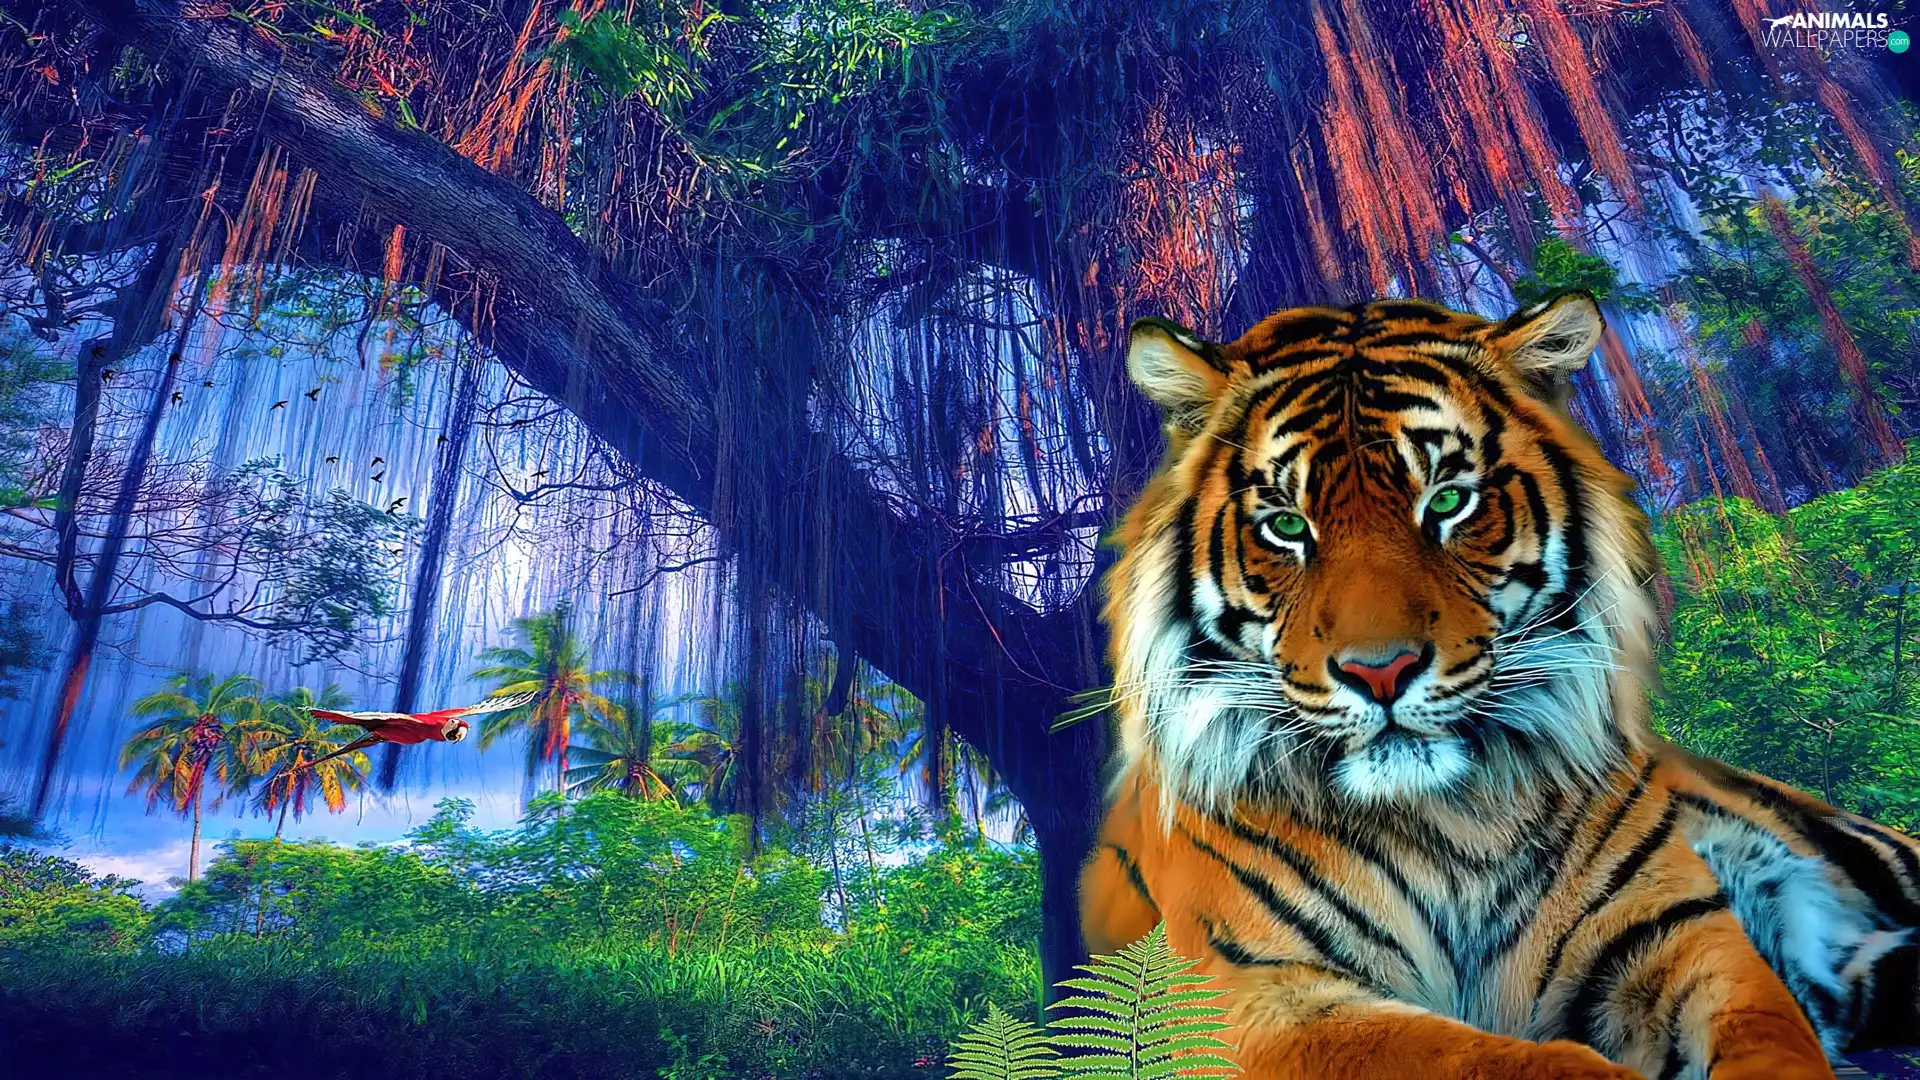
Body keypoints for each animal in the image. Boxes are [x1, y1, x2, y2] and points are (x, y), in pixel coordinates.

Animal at [1078, 291, 1920, 1080]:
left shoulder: (1675, 930)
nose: (1378, 671)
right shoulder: (1257, 995)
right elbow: (1499, 1060)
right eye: (1287, 525)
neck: (1456, 826)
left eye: (1449, 502)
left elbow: (1770, 1040)